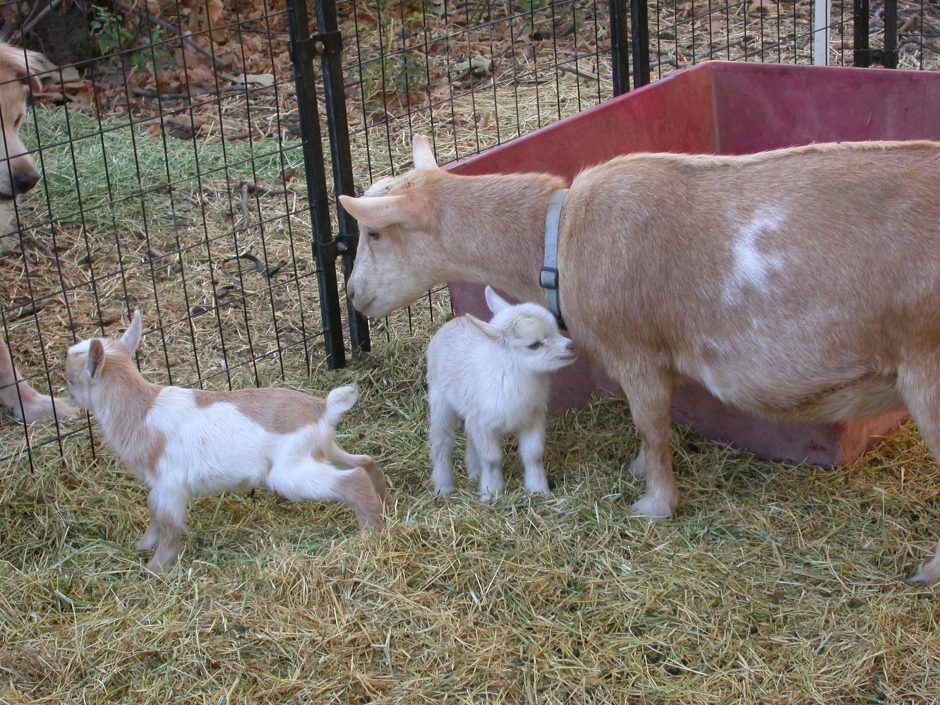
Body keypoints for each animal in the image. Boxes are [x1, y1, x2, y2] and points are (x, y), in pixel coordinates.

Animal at [65, 311, 387, 572]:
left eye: (70, 380)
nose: (67, 396)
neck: (141, 409)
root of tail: (324, 408)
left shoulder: (170, 486)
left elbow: (167, 524)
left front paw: (155, 569)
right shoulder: (158, 487)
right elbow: (153, 512)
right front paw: (142, 545)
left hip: (289, 473)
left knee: (353, 479)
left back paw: (370, 533)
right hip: (325, 451)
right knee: (365, 462)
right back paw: (386, 506)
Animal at [427, 285, 575, 499]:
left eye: (556, 329)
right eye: (534, 345)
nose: (570, 346)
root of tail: (452, 322)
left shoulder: (533, 418)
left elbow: (533, 454)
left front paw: (539, 489)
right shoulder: (483, 423)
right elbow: (492, 459)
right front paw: (491, 492)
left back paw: (474, 472)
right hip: (439, 399)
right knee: (441, 442)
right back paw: (443, 487)